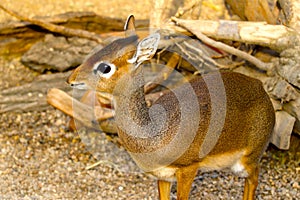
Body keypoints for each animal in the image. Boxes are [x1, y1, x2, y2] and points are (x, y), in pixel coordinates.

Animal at [67, 14, 274, 199]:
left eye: (105, 67)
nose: (71, 79)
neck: (154, 133)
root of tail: (259, 86)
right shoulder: (163, 177)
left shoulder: (188, 169)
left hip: (247, 160)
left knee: (254, 178)